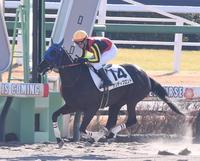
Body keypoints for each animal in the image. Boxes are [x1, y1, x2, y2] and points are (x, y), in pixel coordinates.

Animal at [36, 40, 184, 147]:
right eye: (47, 49)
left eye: (55, 52)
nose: (39, 67)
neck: (76, 78)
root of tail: (146, 75)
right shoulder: (72, 105)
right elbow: (54, 116)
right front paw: (59, 140)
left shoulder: (91, 108)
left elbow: (82, 129)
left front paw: (94, 136)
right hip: (116, 103)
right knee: (112, 120)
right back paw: (108, 134)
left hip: (132, 100)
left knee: (131, 119)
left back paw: (106, 134)